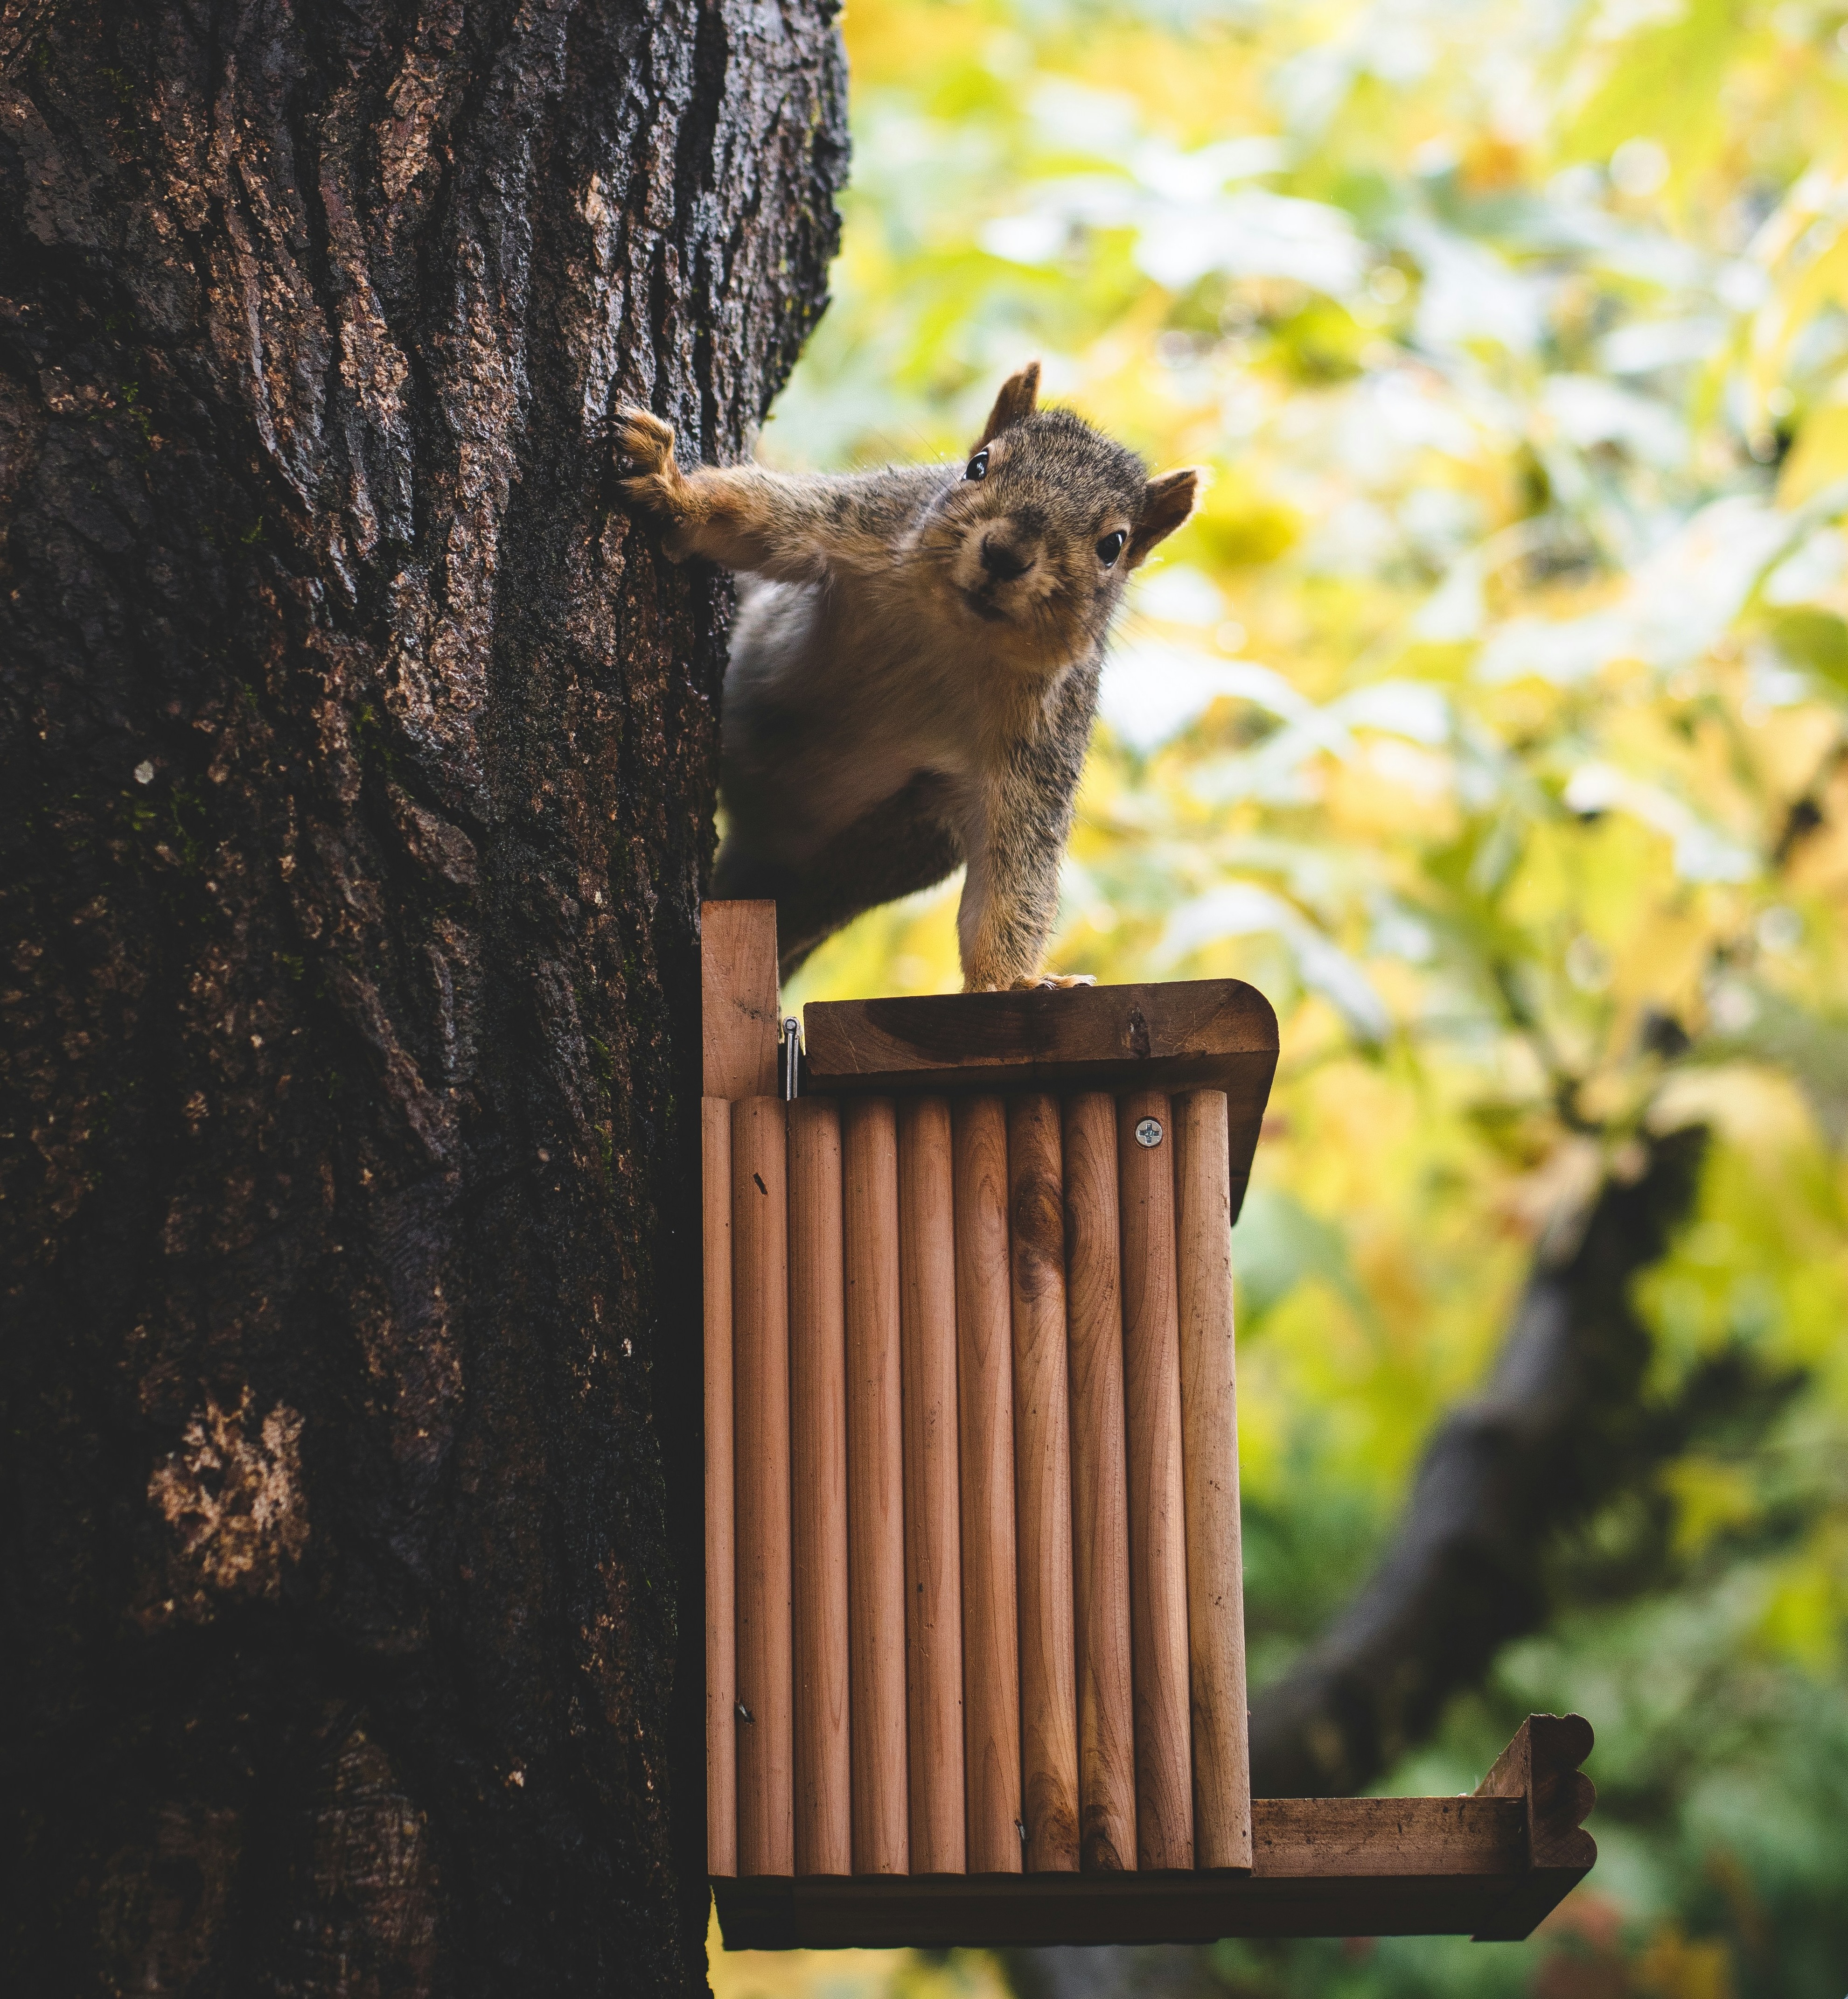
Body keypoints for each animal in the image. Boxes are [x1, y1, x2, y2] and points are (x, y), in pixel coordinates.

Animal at [611, 365, 1206, 991]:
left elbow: (1014, 875)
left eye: (1113, 546)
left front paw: (1009, 983)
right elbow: (756, 517)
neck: (954, 635)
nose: (1006, 553)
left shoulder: (1039, 752)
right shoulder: (862, 522)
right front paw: (668, 484)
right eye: (978, 466)